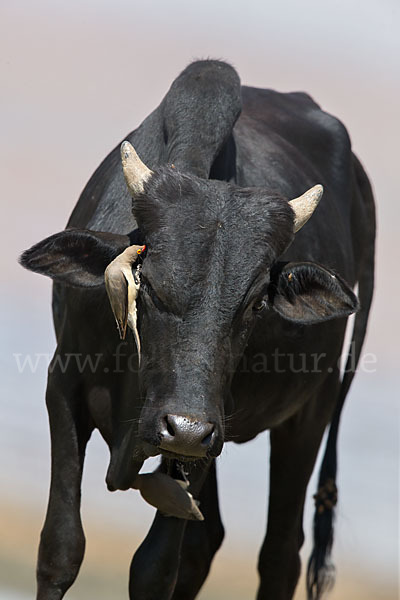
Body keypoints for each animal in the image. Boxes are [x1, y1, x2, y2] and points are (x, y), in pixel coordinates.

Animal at [20, 61, 374, 600]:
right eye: (147, 284)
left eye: (256, 303)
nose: (183, 426)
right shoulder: (63, 384)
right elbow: (61, 547)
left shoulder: (211, 428)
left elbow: (154, 567)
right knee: (208, 543)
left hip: (311, 411)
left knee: (278, 556)